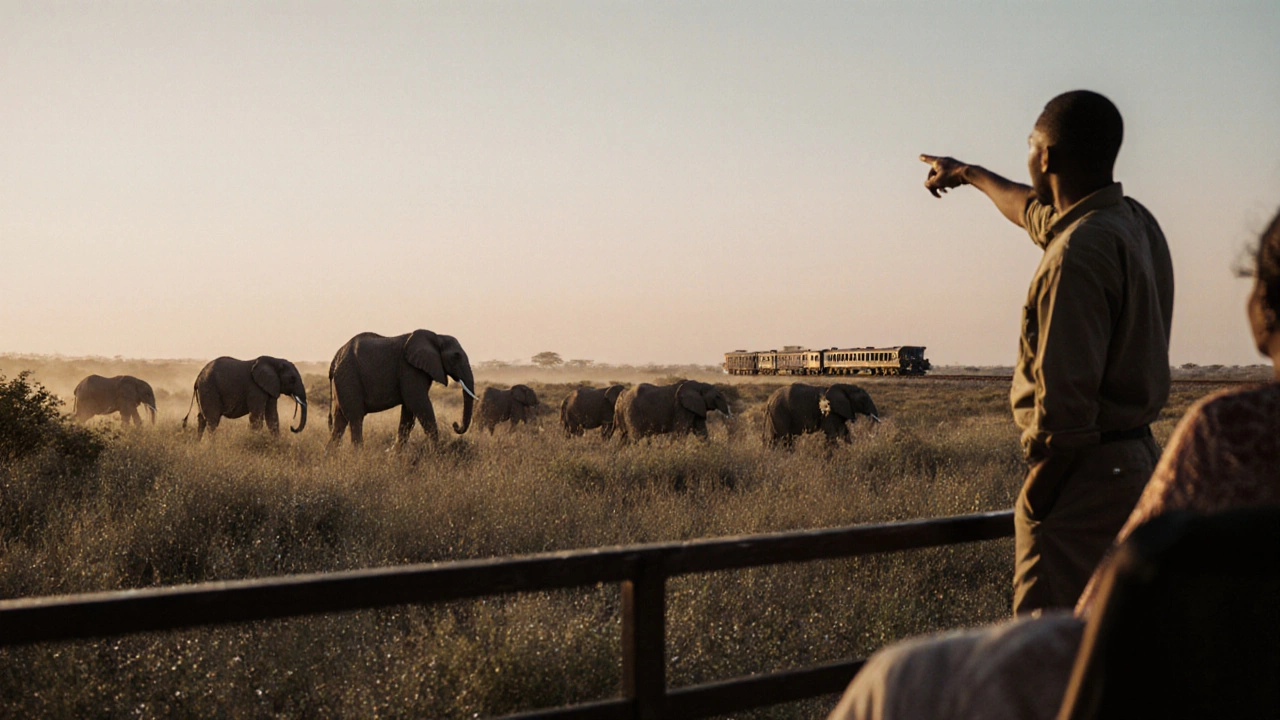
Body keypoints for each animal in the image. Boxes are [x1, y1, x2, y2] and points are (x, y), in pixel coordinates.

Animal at [327, 330, 477, 448]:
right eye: (456, 356)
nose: (455, 425)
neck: (437, 336)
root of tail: (335, 358)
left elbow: (409, 410)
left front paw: (395, 456)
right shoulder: (409, 368)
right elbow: (418, 403)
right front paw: (437, 452)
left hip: (343, 381)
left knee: (339, 422)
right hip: (349, 377)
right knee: (355, 419)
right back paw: (359, 457)